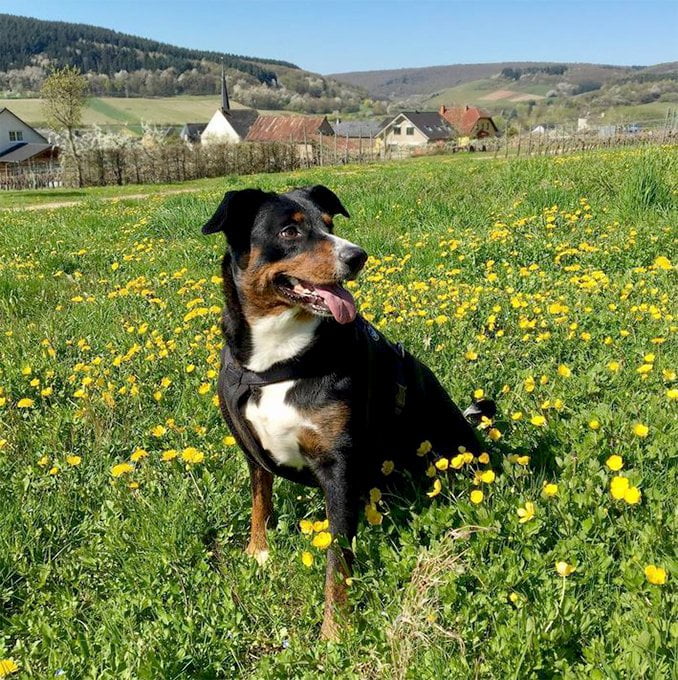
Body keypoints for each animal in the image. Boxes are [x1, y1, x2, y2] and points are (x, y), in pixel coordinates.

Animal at [201, 185, 494, 636]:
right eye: (289, 231)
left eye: (329, 223)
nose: (357, 256)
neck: (278, 363)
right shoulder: (253, 451)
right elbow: (260, 502)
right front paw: (258, 553)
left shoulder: (338, 466)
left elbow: (337, 561)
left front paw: (335, 632)